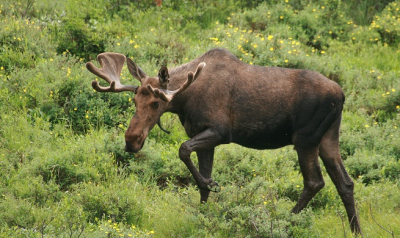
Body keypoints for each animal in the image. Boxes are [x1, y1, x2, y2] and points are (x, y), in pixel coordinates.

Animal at [87, 48, 362, 232]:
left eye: (157, 102)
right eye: (134, 100)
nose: (131, 140)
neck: (184, 99)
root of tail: (342, 95)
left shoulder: (219, 132)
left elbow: (183, 151)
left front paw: (213, 184)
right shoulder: (202, 134)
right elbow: (198, 174)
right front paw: (204, 213)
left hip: (305, 138)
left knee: (315, 182)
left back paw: (285, 221)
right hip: (328, 137)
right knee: (345, 182)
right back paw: (355, 230)